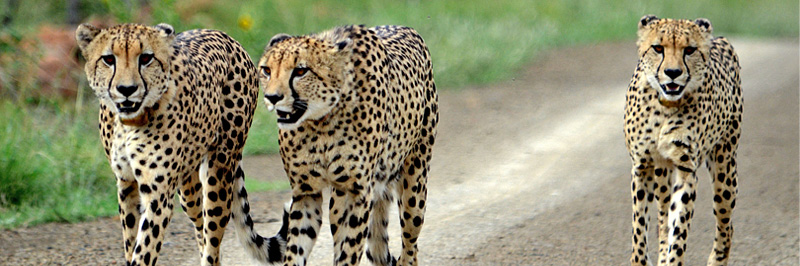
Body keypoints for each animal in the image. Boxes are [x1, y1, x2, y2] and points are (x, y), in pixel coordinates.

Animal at [75, 23, 286, 266]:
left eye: (146, 58)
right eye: (108, 59)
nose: (126, 89)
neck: (129, 123)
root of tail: (223, 35)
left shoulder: (157, 195)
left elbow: (144, 250)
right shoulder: (126, 184)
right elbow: (131, 243)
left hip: (219, 171)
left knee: (212, 235)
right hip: (188, 189)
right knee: (201, 224)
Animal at [260, 23, 438, 264]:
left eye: (300, 71)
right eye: (266, 70)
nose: (272, 97)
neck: (320, 123)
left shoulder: (358, 192)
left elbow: (350, 248)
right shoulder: (306, 192)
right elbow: (296, 247)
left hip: (415, 181)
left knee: (410, 242)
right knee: (375, 246)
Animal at [624, 15, 744, 264]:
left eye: (689, 50)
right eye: (658, 48)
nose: (672, 72)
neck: (664, 106)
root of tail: (721, 39)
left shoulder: (685, 169)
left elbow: (679, 230)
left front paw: (673, 259)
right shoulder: (642, 166)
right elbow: (640, 230)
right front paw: (644, 258)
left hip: (725, 168)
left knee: (726, 222)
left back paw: (717, 258)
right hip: (661, 174)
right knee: (662, 216)